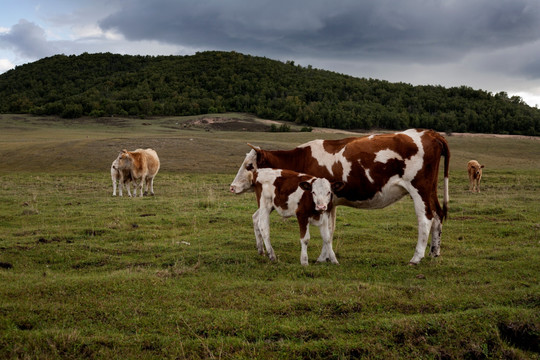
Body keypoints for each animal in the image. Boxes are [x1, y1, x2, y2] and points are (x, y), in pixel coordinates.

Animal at [230, 129, 450, 264]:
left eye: (249, 166)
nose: (232, 187)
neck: (301, 158)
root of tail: (429, 133)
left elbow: (326, 230)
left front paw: (322, 258)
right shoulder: (329, 203)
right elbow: (330, 229)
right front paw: (325, 257)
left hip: (419, 189)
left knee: (425, 219)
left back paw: (416, 257)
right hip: (430, 190)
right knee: (438, 215)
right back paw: (434, 252)